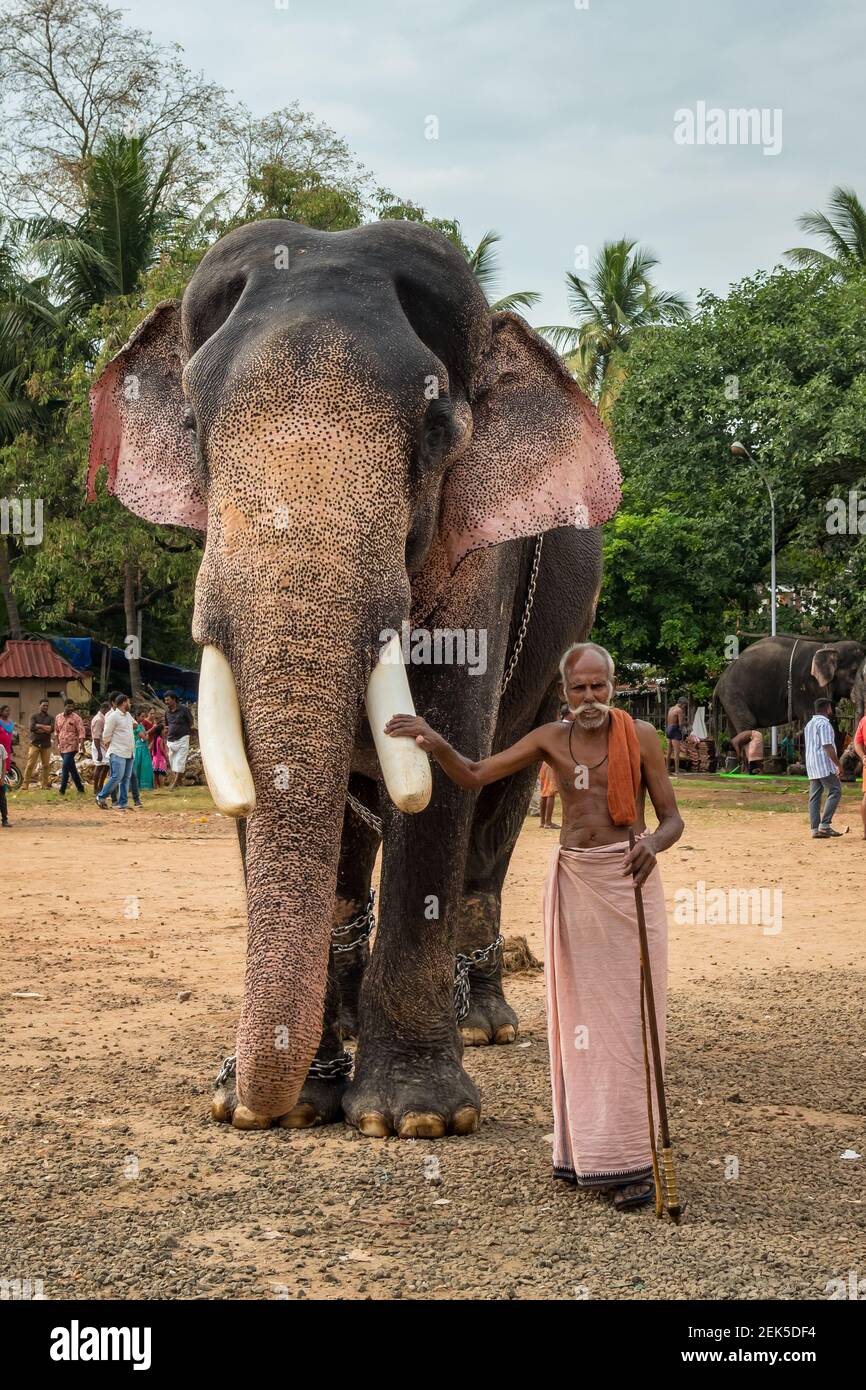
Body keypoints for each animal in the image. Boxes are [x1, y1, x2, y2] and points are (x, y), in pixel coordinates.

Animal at [87, 217, 621, 1138]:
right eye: (192, 422)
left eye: (439, 428)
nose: (242, 1096)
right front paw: (286, 1104)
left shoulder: (483, 561)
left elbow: (444, 762)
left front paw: (415, 1117)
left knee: (497, 818)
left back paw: (481, 1024)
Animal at [714, 634, 865, 738]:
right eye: (853, 672)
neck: (828, 647)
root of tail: (718, 684)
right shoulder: (805, 686)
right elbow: (813, 717)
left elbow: (831, 720)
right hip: (732, 694)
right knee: (747, 724)